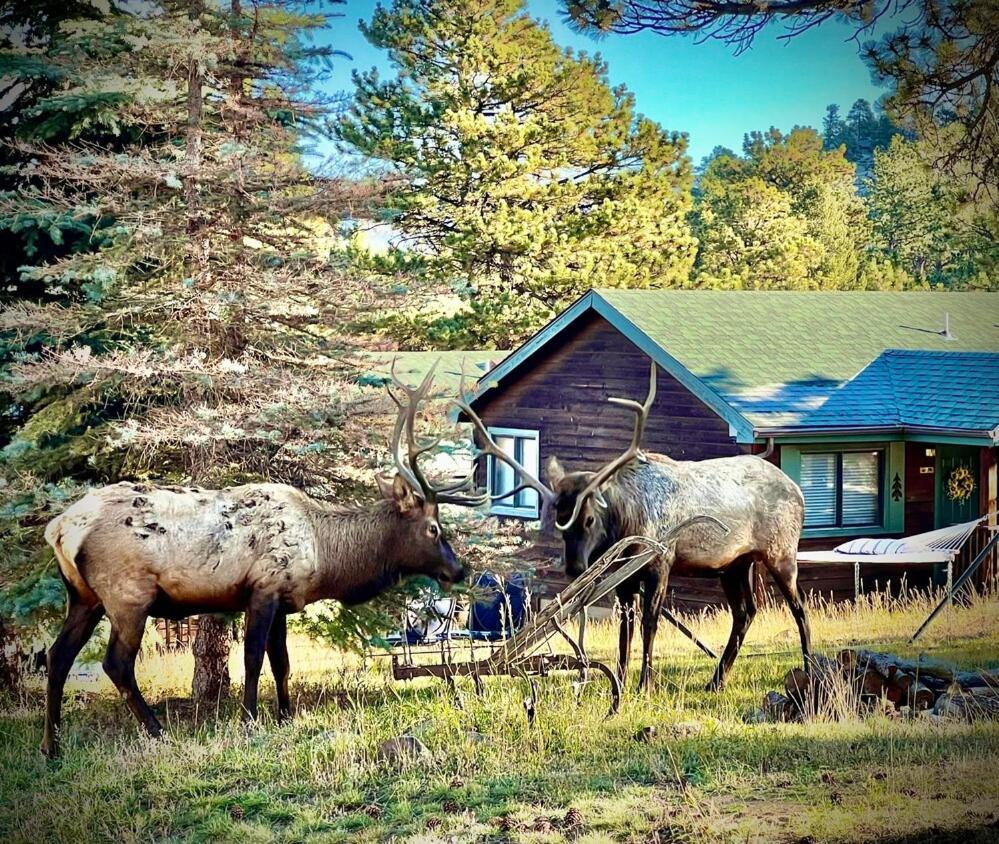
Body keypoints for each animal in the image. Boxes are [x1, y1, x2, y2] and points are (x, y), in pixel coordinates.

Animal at [43, 362, 488, 760]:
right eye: (433, 528)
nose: (458, 569)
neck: (325, 554)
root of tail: (59, 528)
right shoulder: (263, 588)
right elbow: (254, 658)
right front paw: (249, 720)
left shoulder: (284, 600)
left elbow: (282, 663)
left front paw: (286, 715)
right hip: (127, 596)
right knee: (115, 663)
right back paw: (155, 731)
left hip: (84, 597)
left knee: (57, 656)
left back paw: (53, 746)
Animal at [454, 360, 812, 696]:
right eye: (559, 520)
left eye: (589, 518)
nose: (574, 567)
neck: (626, 526)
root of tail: (797, 490)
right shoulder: (624, 577)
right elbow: (624, 629)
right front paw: (621, 682)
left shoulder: (660, 563)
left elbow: (649, 623)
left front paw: (645, 685)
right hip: (735, 563)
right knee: (745, 612)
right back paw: (716, 681)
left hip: (781, 552)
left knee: (799, 609)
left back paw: (809, 672)